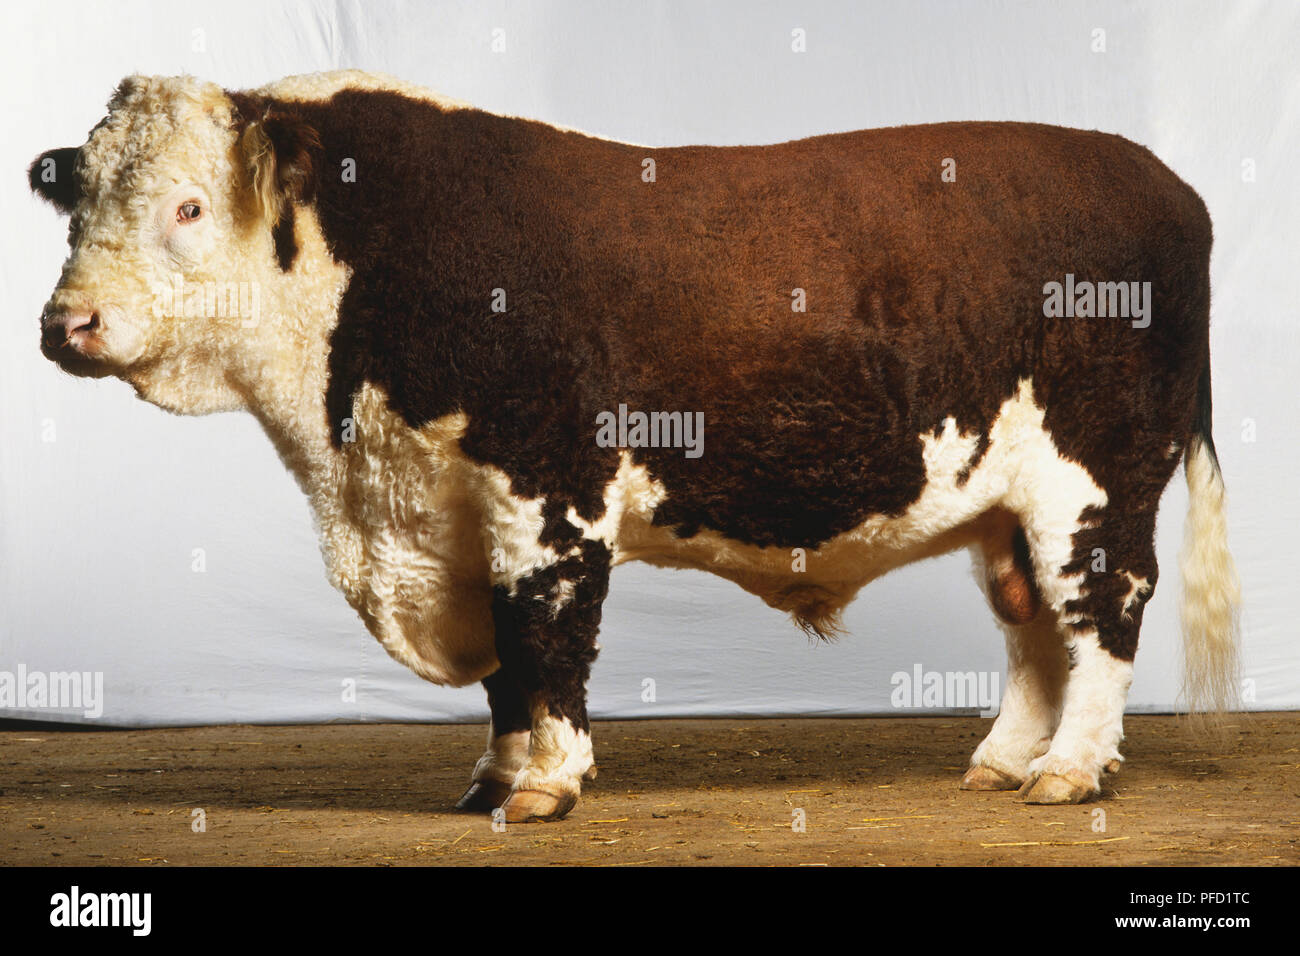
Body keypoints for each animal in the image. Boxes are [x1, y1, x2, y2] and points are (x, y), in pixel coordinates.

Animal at [32, 72, 1237, 822]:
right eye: (77, 203)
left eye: (190, 207)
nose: (64, 324)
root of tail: (1165, 183)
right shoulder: (452, 511)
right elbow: (503, 670)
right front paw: (493, 777)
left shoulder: (546, 490)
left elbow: (544, 638)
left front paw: (548, 782)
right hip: (1007, 499)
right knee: (1034, 622)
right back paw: (1002, 762)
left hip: (1099, 479)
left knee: (1103, 609)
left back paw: (1070, 772)